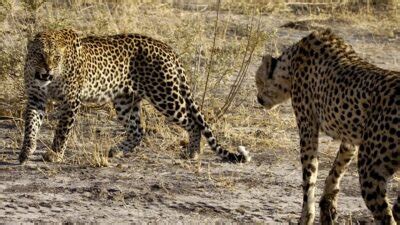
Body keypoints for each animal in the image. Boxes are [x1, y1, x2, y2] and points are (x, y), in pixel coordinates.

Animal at [19, 29, 250, 164]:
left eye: (56, 57)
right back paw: (117, 151)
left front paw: (54, 154)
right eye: (40, 55)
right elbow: (31, 126)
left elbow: (61, 131)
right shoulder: (36, 98)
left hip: (165, 95)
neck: (47, 80)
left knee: (193, 122)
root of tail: (166, 47)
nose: (47, 70)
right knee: (138, 130)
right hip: (125, 100)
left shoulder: (71, 101)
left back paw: (192, 153)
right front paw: (26, 152)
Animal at [255, 29, 398, 224]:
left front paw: (306, 216)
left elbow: (309, 176)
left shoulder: (308, 128)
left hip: (370, 169)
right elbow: (337, 167)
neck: (290, 63)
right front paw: (328, 205)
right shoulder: (350, 139)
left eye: (258, 81)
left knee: (386, 217)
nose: (258, 98)